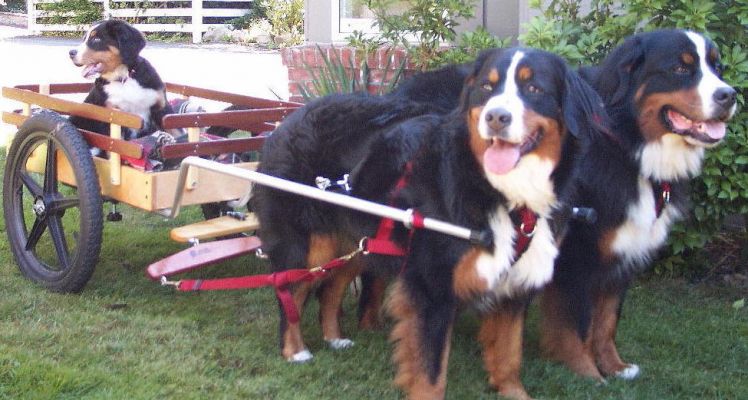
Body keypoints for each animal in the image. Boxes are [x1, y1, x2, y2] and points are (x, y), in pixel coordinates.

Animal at [251, 47, 608, 400]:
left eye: (534, 88)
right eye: (486, 87)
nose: (496, 118)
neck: (503, 193)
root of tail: (286, 120)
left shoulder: (514, 285)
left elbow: (508, 356)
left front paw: (514, 392)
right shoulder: (431, 287)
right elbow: (431, 373)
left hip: (359, 243)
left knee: (331, 288)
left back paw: (335, 338)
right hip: (308, 246)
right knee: (290, 294)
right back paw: (295, 351)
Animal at [536, 28, 736, 382]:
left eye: (718, 67)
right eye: (680, 68)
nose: (731, 95)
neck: (628, 145)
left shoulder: (623, 249)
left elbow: (607, 321)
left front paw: (615, 366)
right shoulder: (577, 252)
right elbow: (578, 324)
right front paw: (587, 373)